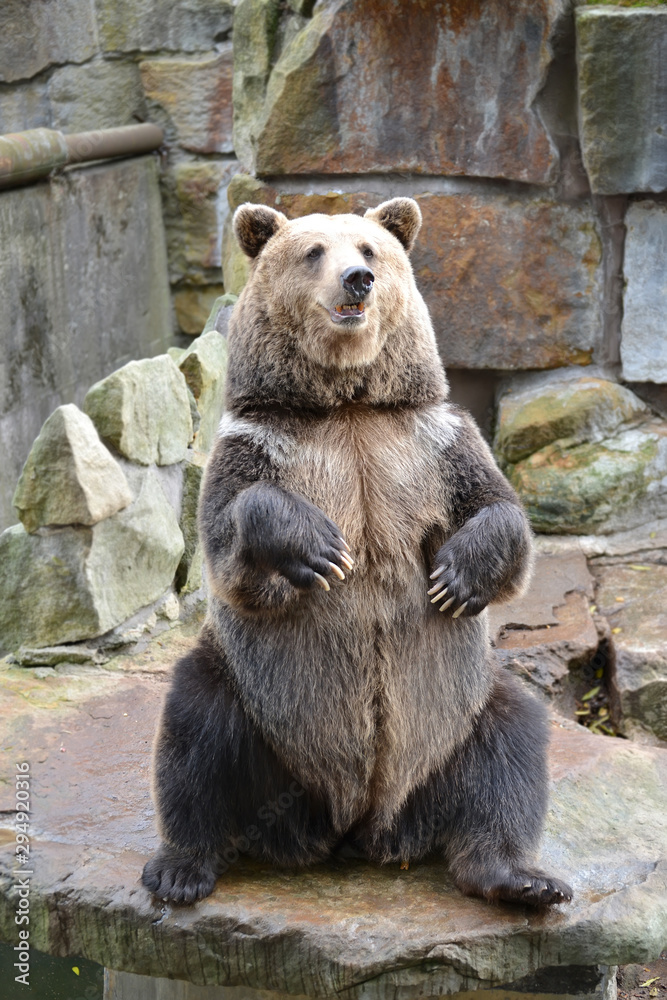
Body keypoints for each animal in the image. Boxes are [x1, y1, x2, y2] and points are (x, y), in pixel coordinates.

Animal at [142, 197, 573, 908]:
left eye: (370, 250)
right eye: (313, 250)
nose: (357, 280)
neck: (348, 405)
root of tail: (358, 825)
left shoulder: (430, 443)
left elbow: (498, 512)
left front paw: (456, 577)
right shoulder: (260, 444)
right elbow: (231, 536)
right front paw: (322, 551)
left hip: (462, 706)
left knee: (511, 747)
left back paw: (521, 877)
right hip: (255, 697)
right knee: (196, 734)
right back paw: (181, 868)